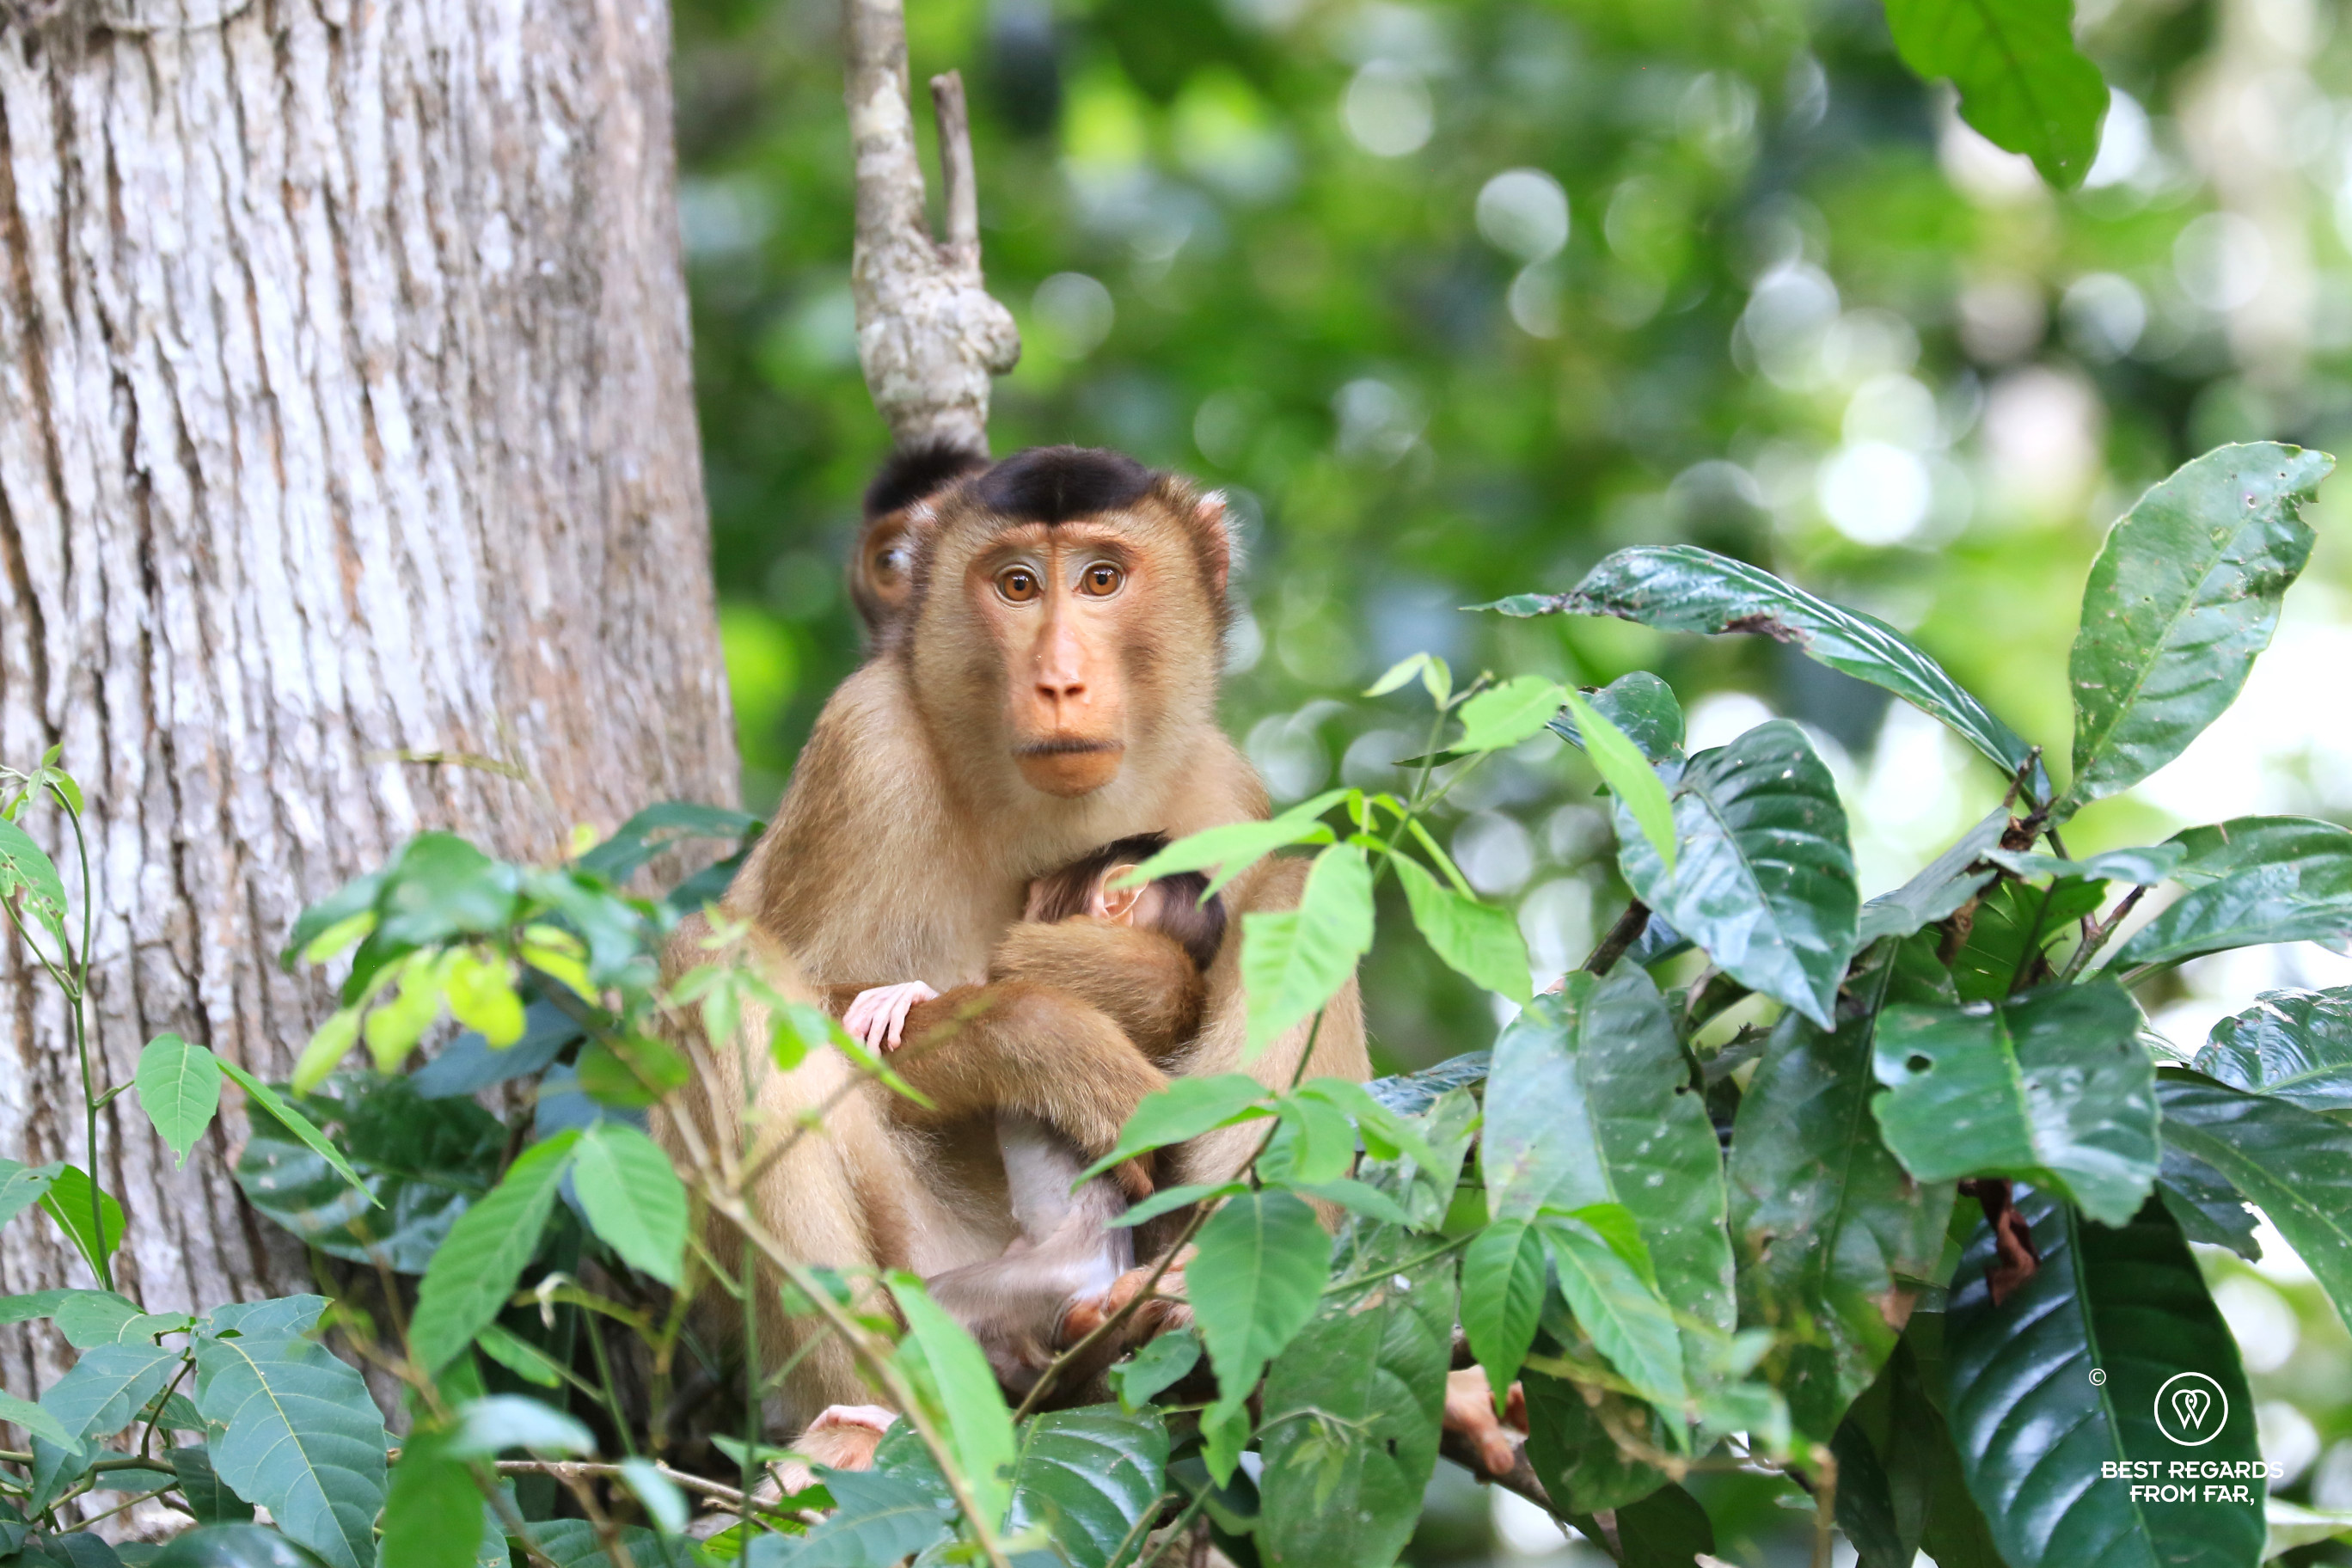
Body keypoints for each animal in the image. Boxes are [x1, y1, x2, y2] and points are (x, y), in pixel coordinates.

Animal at [654, 445, 1369, 1481]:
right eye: (1017, 585)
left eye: (1102, 580)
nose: (1060, 682)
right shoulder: (863, 747)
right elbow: (825, 995)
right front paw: (1049, 1037)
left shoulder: (1222, 788)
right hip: (933, 1271)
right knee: (717, 966)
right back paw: (858, 1429)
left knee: (1295, 890)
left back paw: (1175, 1319)